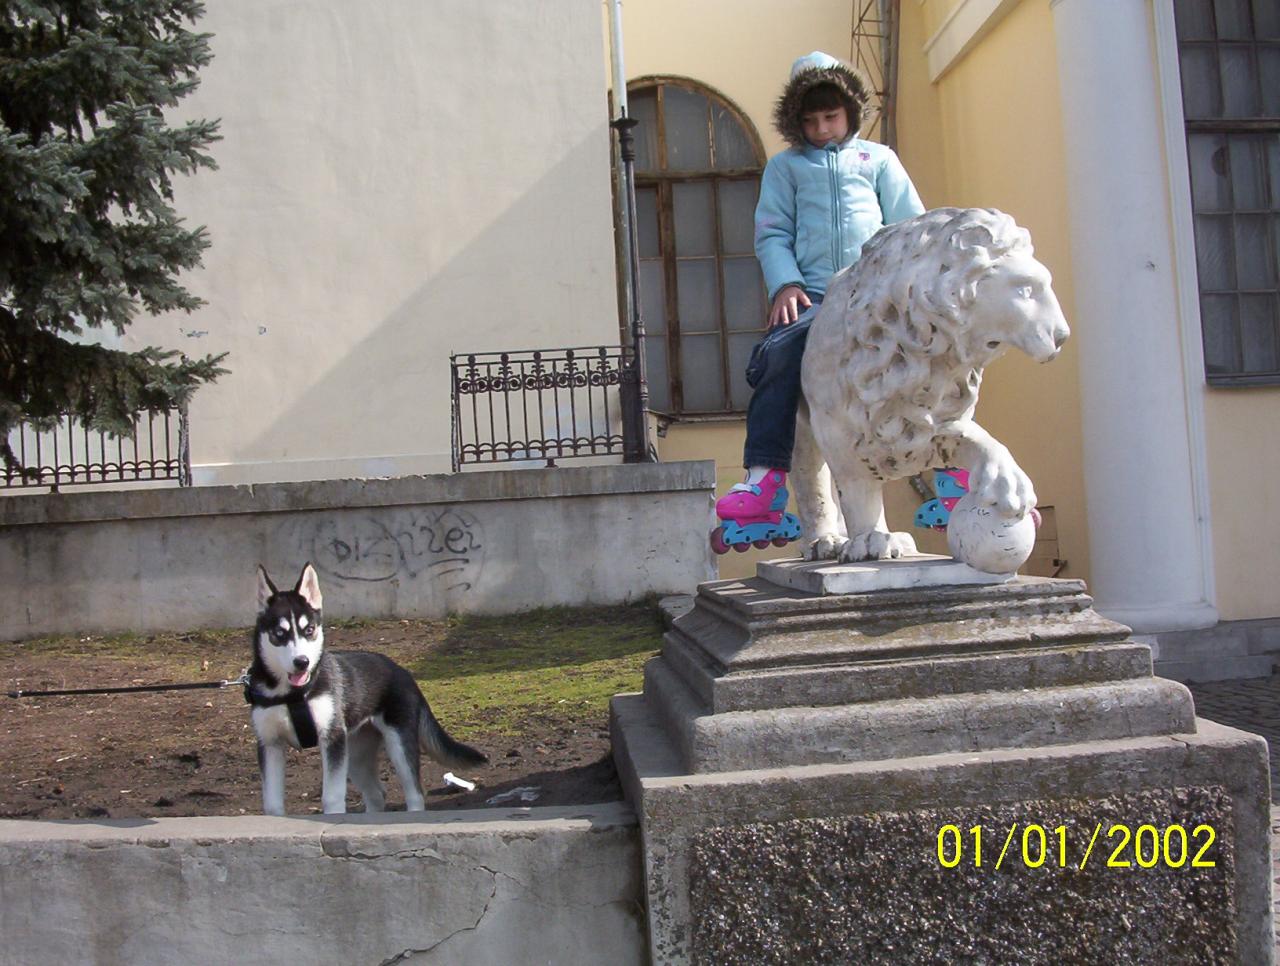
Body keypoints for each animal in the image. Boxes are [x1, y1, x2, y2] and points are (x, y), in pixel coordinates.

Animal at [246, 563, 487, 815]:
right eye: (279, 634)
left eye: (309, 629)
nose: (302, 662)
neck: (292, 694)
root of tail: (401, 670)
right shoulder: (270, 744)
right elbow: (272, 806)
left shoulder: (332, 738)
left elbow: (332, 798)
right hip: (355, 755)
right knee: (377, 794)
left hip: (397, 746)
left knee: (415, 794)